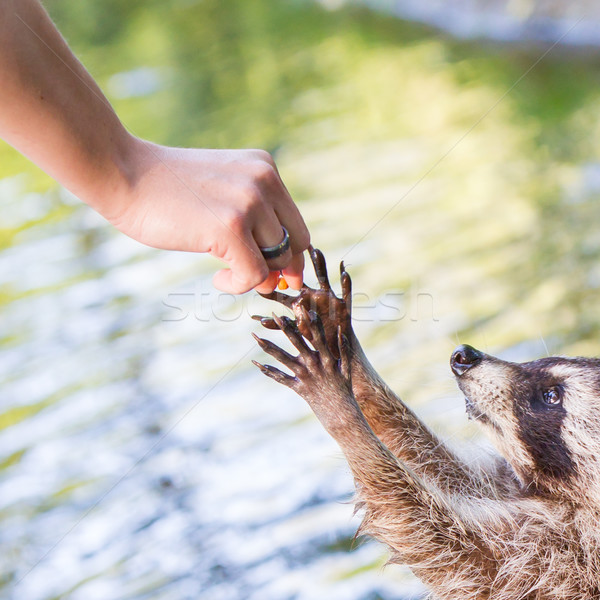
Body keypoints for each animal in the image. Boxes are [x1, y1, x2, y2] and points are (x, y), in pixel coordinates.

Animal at [253, 246, 600, 596]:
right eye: (542, 362)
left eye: (551, 395)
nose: (464, 356)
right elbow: (450, 474)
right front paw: (342, 342)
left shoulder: (565, 564)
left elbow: (445, 545)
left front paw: (342, 415)